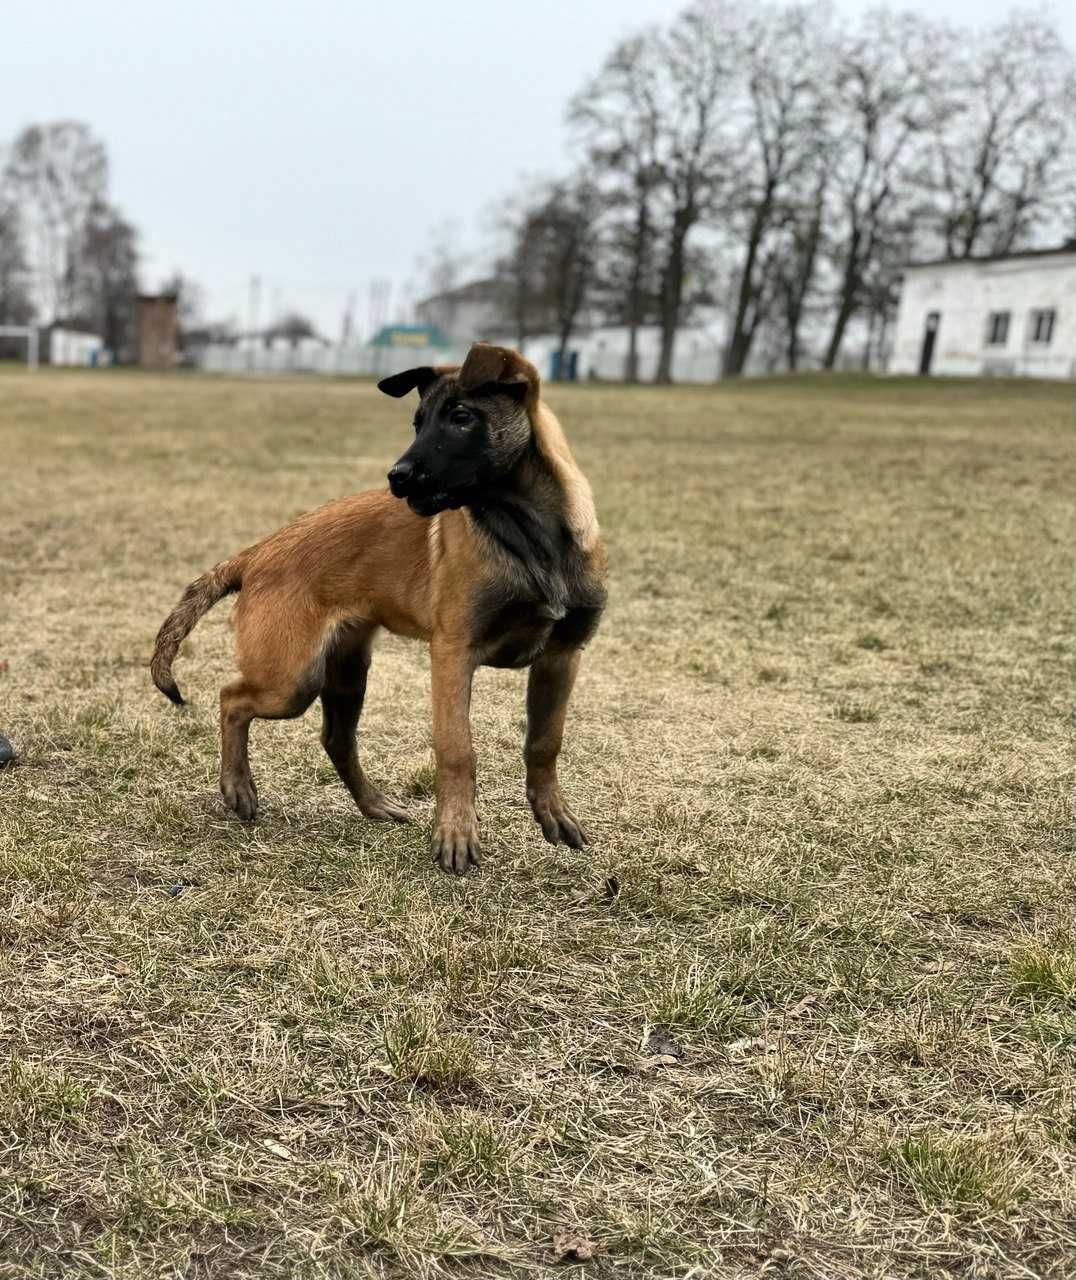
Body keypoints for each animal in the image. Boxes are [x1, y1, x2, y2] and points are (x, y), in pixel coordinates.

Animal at [150, 345, 603, 875]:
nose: (397, 477)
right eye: (417, 422)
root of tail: (259, 551)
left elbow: (545, 742)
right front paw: (455, 834)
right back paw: (238, 787)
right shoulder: (453, 654)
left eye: (462, 417)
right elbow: (457, 748)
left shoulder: (562, 656)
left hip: (346, 673)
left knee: (336, 739)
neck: (530, 540)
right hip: (293, 679)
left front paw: (553, 813)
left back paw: (373, 805)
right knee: (232, 699)